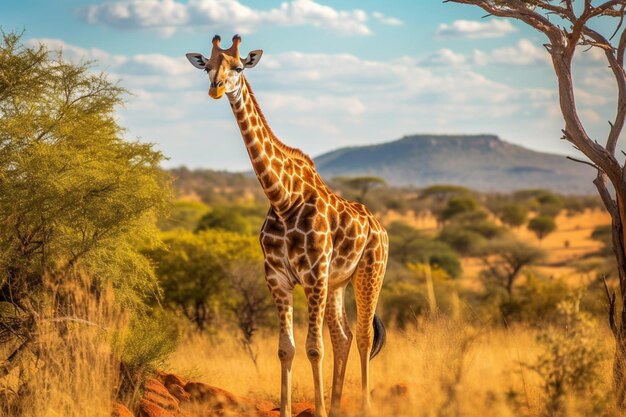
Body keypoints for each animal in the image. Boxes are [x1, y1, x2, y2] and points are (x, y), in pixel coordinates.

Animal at [185, 35, 386, 416]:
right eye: (207, 67)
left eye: (239, 67)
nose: (216, 89)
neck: (283, 198)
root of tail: (380, 228)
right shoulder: (277, 276)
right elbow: (286, 348)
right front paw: (292, 408)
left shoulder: (314, 274)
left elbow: (314, 348)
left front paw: (319, 411)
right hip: (338, 283)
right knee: (344, 336)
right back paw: (337, 406)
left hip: (369, 273)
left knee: (365, 337)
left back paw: (364, 406)